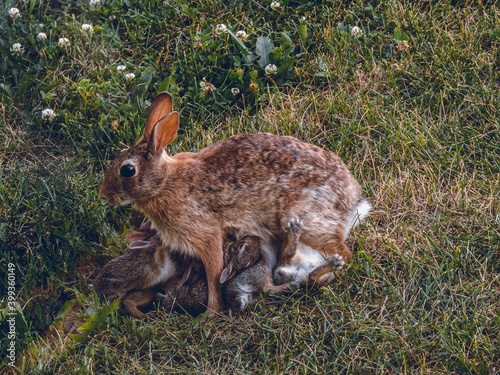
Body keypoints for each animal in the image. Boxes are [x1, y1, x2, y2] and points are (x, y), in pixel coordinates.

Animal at [99, 92, 370, 316]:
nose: (104, 195)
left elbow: (214, 274)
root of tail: (352, 200)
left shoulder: (205, 237)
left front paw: (210, 316)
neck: (163, 182)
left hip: (306, 223)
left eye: (127, 170)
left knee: (342, 254)